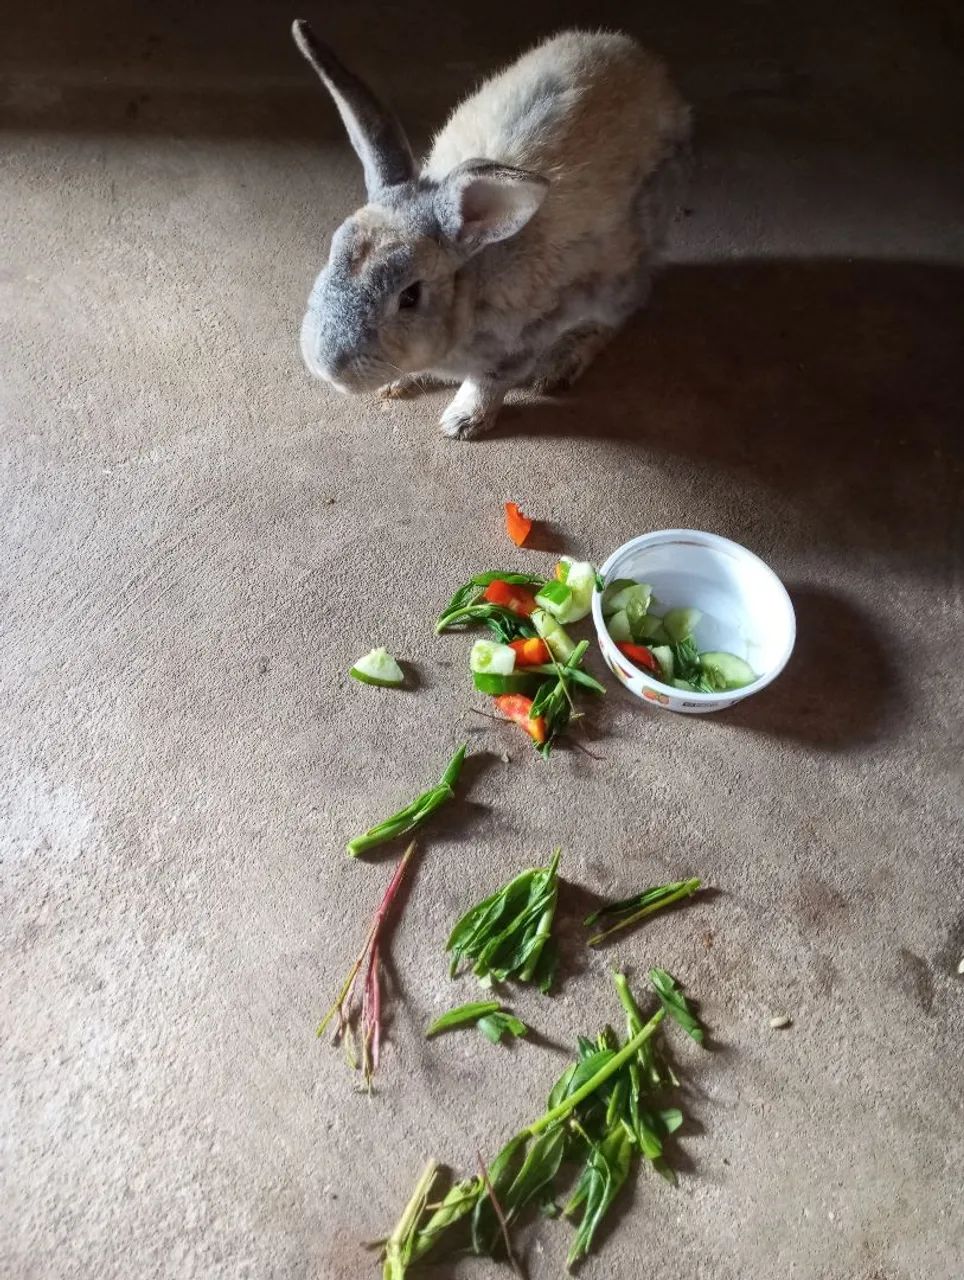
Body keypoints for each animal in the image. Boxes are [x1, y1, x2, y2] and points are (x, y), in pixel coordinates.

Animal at [291, 20, 690, 439]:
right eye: (332, 253)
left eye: (410, 297)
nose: (327, 366)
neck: (472, 274)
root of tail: (652, 69)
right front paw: (396, 384)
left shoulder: (520, 342)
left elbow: (488, 382)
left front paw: (462, 422)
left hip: (619, 274)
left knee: (616, 314)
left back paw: (560, 364)